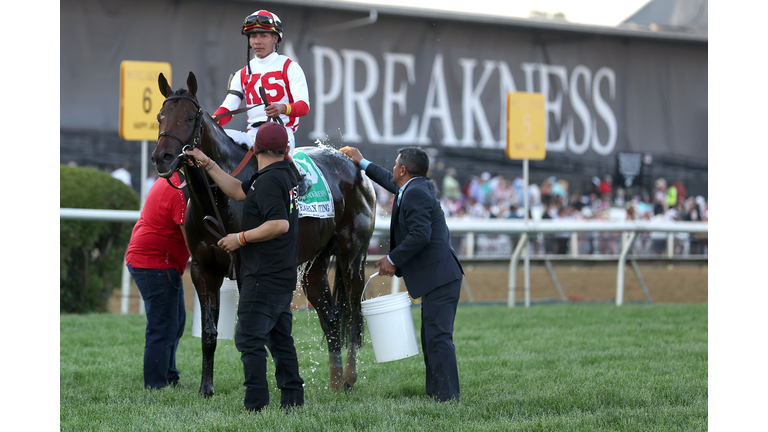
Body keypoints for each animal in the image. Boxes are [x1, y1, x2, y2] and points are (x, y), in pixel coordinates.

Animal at [148, 71, 376, 398]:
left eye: (190, 117)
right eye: (160, 116)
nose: (162, 158)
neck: (218, 198)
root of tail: (352, 163)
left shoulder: (248, 269)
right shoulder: (203, 269)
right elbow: (209, 332)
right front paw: (206, 388)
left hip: (353, 256)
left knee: (355, 316)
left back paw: (349, 378)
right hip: (315, 265)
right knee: (331, 320)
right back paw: (334, 384)